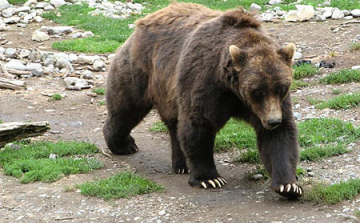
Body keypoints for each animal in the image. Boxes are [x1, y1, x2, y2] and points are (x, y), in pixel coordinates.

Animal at [103, 2, 300, 199]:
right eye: (258, 91)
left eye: (282, 88)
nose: (273, 120)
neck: (231, 88)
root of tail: (145, 20)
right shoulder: (205, 80)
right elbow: (198, 124)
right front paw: (210, 178)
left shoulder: (266, 105)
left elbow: (279, 137)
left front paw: (288, 185)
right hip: (141, 69)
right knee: (126, 107)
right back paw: (124, 144)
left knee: (174, 123)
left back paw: (181, 164)